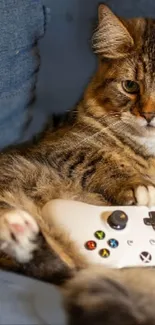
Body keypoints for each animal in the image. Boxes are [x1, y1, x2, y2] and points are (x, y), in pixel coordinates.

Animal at [0, 2, 155, 322]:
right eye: (130, 86)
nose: (148, 115)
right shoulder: (63, 146)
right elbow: (98, 159)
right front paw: (139, 186)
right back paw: (16, 229)